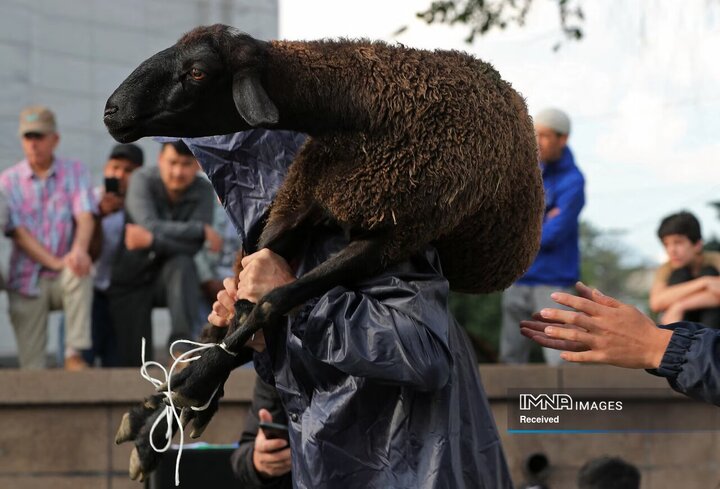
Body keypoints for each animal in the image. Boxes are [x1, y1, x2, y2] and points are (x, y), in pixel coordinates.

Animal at [104, 24, 544, 478]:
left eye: (197, 72)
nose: (112, 111)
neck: (359, 113)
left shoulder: (390, 235)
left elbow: (271, 301)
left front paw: (196, 386)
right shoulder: (305, 202)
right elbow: (241, 308)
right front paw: (179, 398)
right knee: (216, 323)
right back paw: (151, 419)